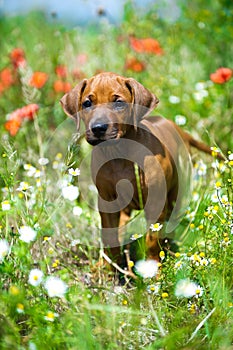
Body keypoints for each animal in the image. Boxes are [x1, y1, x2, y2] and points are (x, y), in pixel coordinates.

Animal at [60, 72, 220, 266]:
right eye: (87, 103)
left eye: (119, 102)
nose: (98, 128)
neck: (119, 153)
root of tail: (178, 129)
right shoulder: (107, 201)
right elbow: (109, 237)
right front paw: (107, 267)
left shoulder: (156, 202)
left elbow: (152, 240)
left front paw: (153, 268)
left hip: (176, 194)